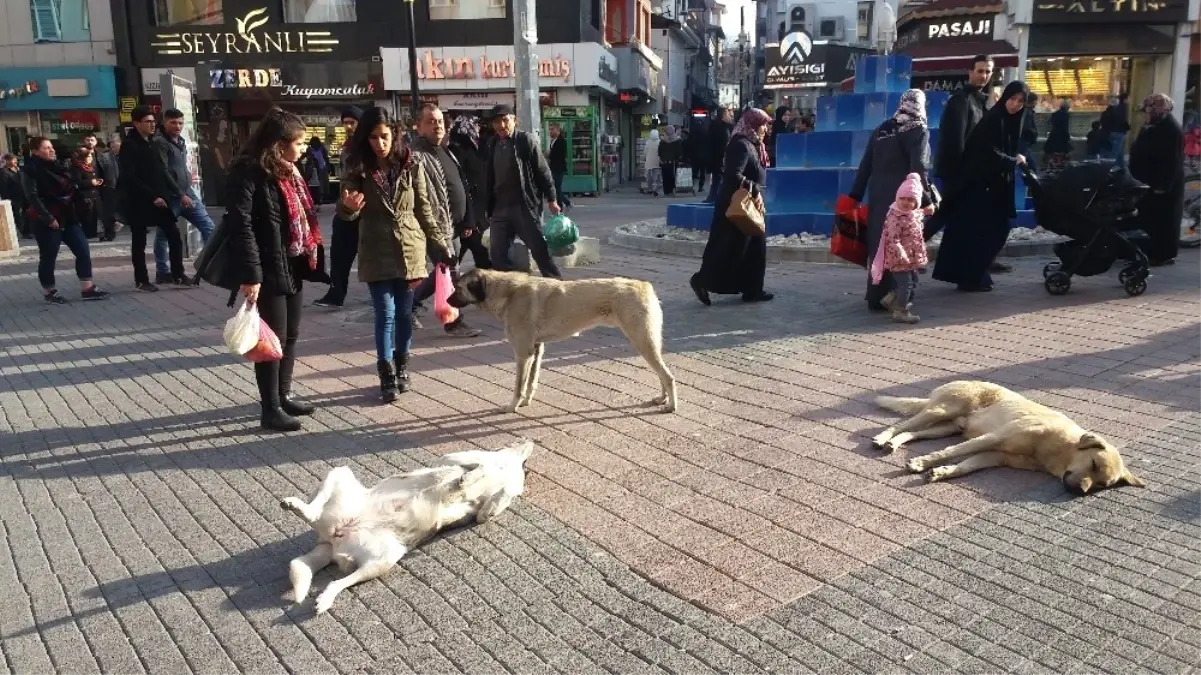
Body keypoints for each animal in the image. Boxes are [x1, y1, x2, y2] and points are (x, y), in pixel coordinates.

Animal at [278, 439, 533, 612]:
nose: (530, 441)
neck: (505, 464)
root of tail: (332, 539)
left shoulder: (483, 510)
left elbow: (496, 499)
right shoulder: (454, 458)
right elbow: (475, 468)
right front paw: (467, 479)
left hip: (385, 558)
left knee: (336, 581)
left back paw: (325, 598)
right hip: (341, 473)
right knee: (315, 509)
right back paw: (297, 506)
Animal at [449, 267, 682, 410]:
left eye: (458, 288)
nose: (447, 301)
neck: (507, 292)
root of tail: (644, 285)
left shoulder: (522, 353)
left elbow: (518, 386)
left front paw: (512, 406)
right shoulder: (536, 350)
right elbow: (531, 382)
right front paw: (526, 402)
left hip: (643, 341)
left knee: (668, 376)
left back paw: (671, 405)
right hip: (648, 343)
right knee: (662, 374)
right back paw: (662, 399)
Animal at [874, 379, 1143, 494]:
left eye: (1102, 485)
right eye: (1094, 464)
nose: (1079, 491)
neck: (1056, 447)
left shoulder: (994, 455)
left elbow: (964, 466)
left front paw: (942, 472)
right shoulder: (992, 438)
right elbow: (949, 452)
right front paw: (923, 462)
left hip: (948, 427)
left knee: (911, 432)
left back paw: (893, 443)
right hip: (942, 410)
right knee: (901, 424)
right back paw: (882, 437)